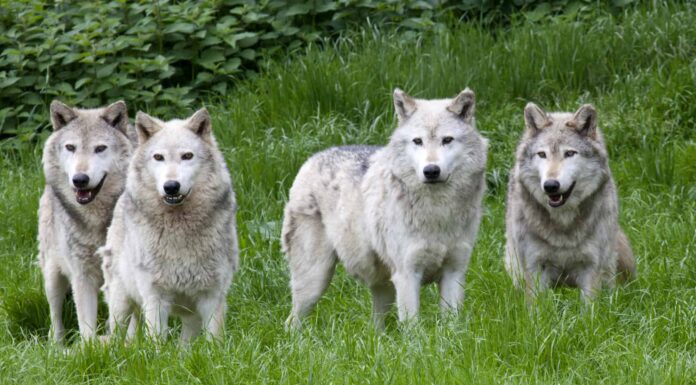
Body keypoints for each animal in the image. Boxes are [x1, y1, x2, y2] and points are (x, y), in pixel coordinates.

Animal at [38, 100, 134, 340]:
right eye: (71, 147)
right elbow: (86, 327)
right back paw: (57, 345)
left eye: (100, 148)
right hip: (52, 276)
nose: (80, 179)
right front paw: (91, 348)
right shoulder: (81, 276)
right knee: (55, 316)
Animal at [98, 106, 239, 340]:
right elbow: (156, 341)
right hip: (121, 304)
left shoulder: (212, 296)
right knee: (116, 337)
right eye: (158, 157)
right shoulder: (155, 297)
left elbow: (214, 341)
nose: (171, 186)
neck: (179, 228)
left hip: (190, 317)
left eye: (187, 156)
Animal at [280, 88, 486, 328]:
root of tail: (312, 158)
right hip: (315, 281)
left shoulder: (454, 273)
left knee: (375, 327)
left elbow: (451, 327)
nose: (431, 171)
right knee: (291, 323)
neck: (438, 211)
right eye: (418, 141)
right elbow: (413, 327)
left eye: (447, 140)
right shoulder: (407, 275)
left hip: (383, 287)